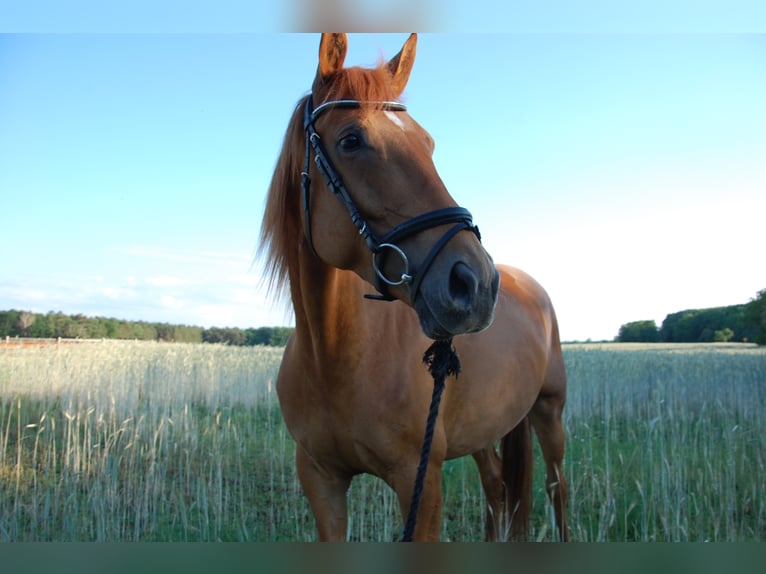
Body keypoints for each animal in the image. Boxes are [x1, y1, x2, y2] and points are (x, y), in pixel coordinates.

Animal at [258, 31, 568, 544]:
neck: (336, 358)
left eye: (428, 143)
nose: (475, 283)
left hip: (550, 412)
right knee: (497, 484)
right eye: (351, 140)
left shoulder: (420, 483)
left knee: (557, 489)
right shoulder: (321, 480)